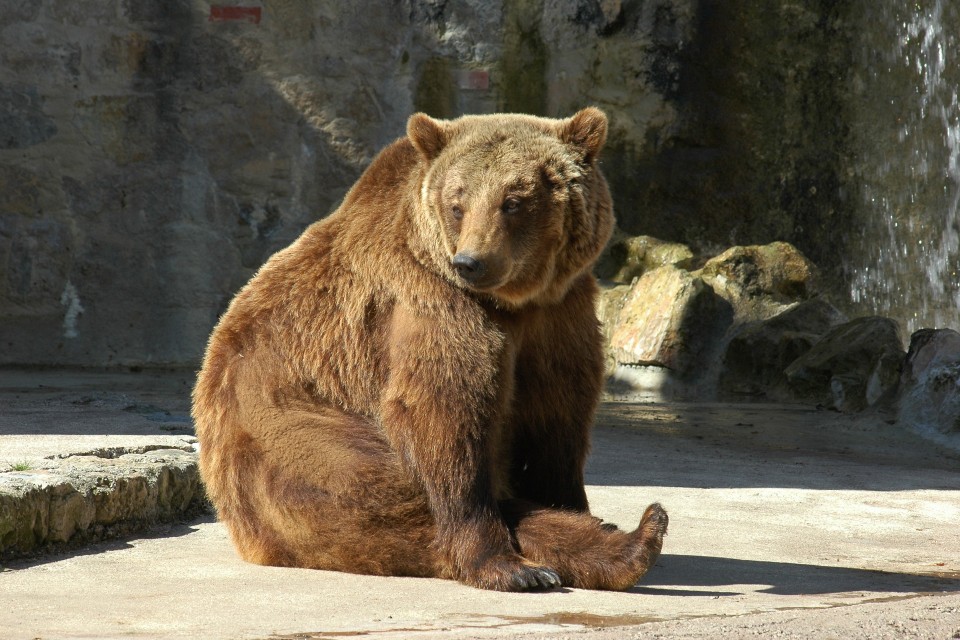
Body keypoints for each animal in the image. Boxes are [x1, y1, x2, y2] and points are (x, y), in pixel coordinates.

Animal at [192, 107, 672, 592]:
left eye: (513, 201)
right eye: (457, 204)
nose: (471, 262)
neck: (514, 301)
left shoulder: (560, 314)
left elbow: (556, 417)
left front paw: (573, 503)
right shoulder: (431, 304)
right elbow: (443, 416)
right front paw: (507, 565)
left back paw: (632, 536)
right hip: (295, 437)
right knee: (388, 504)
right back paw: (605, 547)